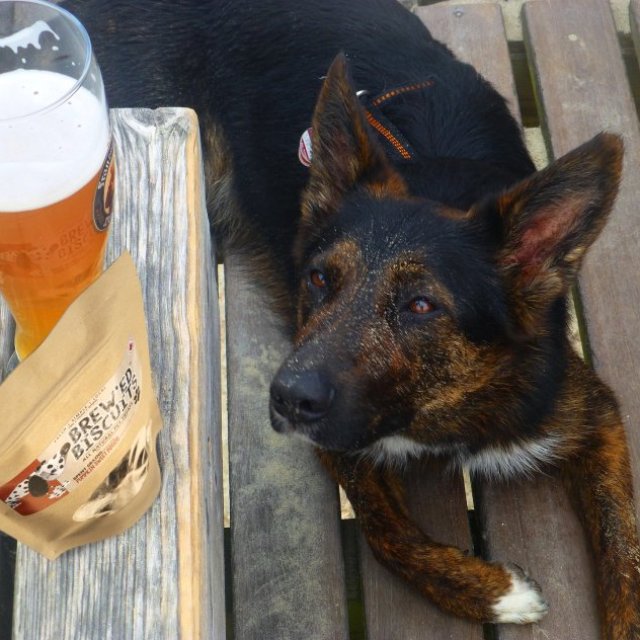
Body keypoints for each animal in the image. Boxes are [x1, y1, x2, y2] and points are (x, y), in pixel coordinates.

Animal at [63, 0, 640, 632]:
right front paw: (494, 592)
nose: (287, 399)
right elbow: (386, 534)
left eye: (421, 305)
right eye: (319, 279)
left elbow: (625, 554)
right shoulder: (339, 439)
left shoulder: (589, 415)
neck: (433, 408)